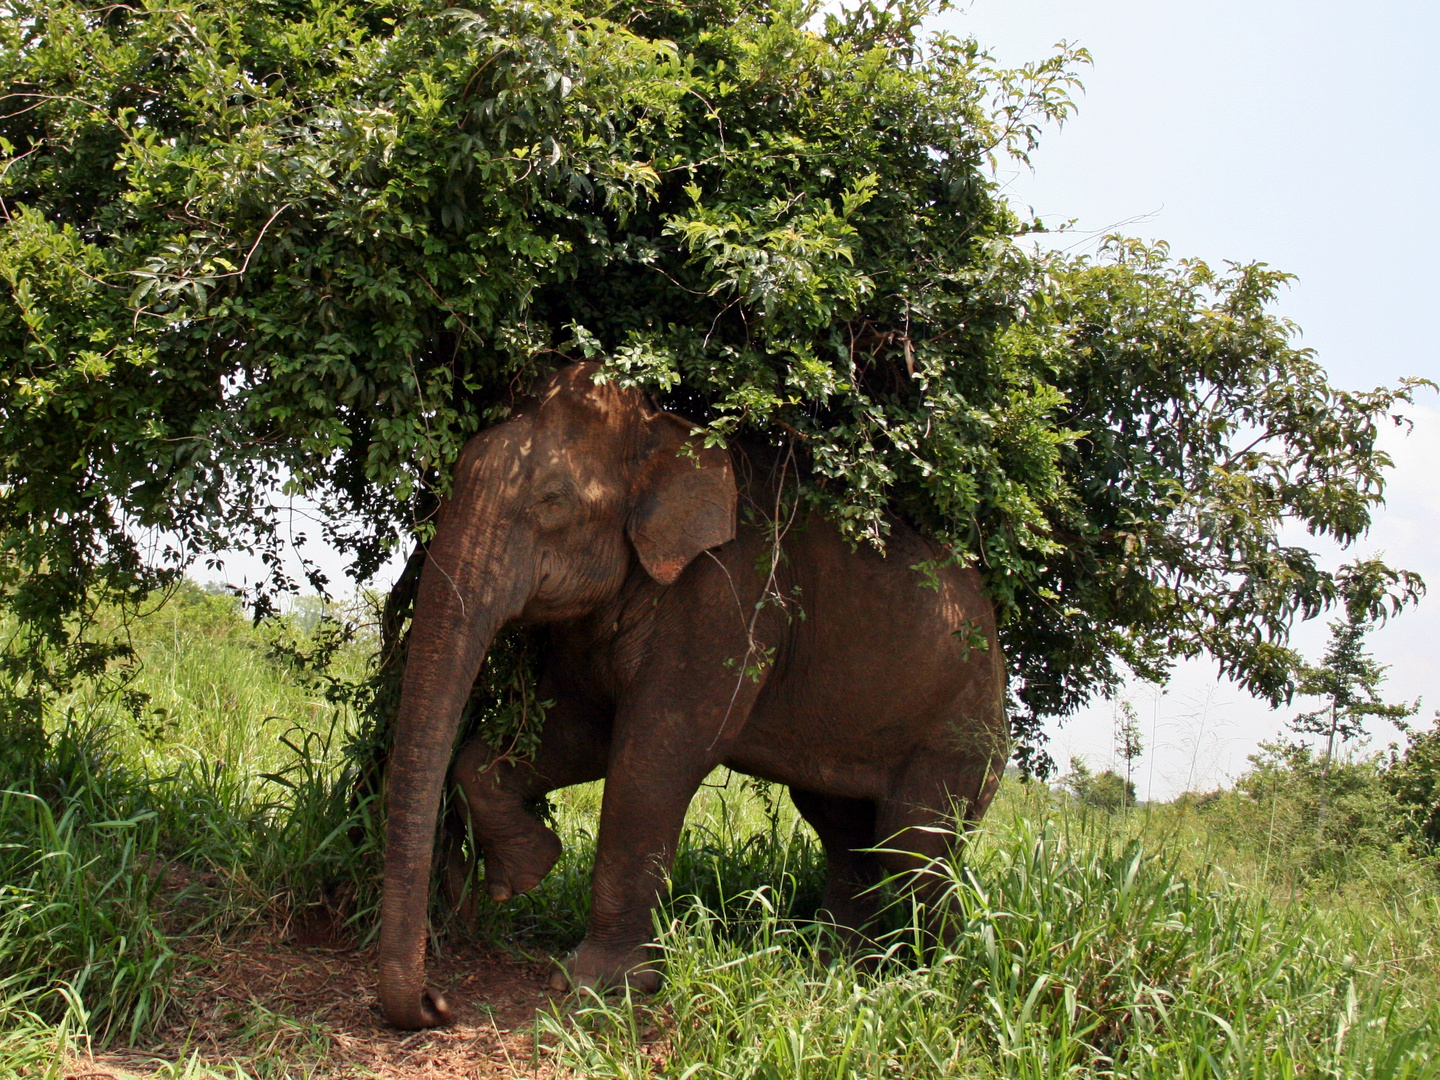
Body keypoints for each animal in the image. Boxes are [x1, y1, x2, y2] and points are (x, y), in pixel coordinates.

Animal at [383, 364, 1013, 1031]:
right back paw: (839, 965)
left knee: (915, 841)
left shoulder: (726, 602)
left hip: (963, 722)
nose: (436, 1003)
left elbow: (653, 758)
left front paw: (592, 986)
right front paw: (525, 874)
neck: (664, 434)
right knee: (844, 827)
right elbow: (576, 733)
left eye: (552, 501)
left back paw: (938, 977)